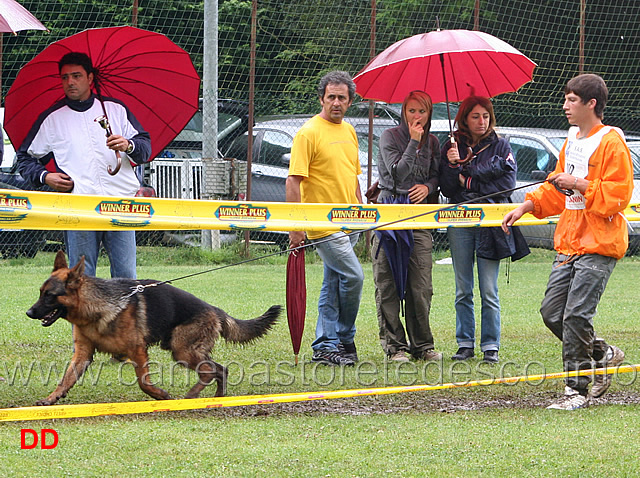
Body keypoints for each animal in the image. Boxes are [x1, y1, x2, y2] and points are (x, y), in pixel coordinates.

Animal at [25, 252, 280, 406]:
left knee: (209, 371)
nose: (28, 312)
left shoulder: (138, 350)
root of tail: (215, 310)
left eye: (50, 296)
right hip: (186, 351)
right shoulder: (82, 355)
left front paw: (161, 396)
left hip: (182, 351)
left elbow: (143, 382)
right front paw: (51, 399)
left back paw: (192, 396)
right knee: (220, 369)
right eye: (40, 292)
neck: (95, 307)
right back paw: (217, 398)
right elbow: (65, 379)